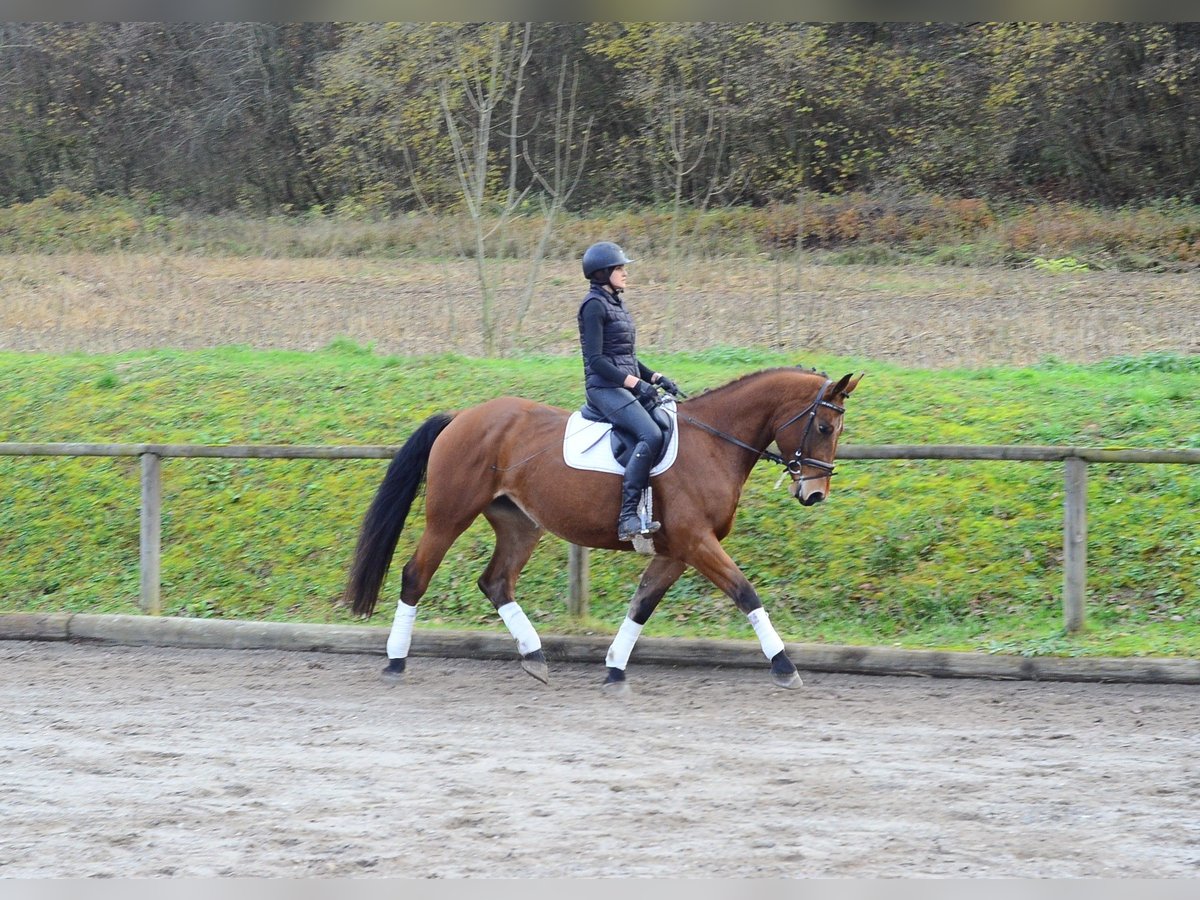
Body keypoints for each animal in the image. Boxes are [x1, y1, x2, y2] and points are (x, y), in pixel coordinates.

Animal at [342, 367, 862, 691]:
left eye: (837, 431)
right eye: (823, 428)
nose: (814, 494)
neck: (715, 443)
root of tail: (461, 418)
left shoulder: (676, 550)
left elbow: (642, 604)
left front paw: (614, 670)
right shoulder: (697, 542)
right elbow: (745, 593)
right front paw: (785, 666)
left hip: (520, 524)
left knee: (496, 582)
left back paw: (535, 658)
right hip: (449, 516)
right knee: (416, 575)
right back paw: (395, 661)